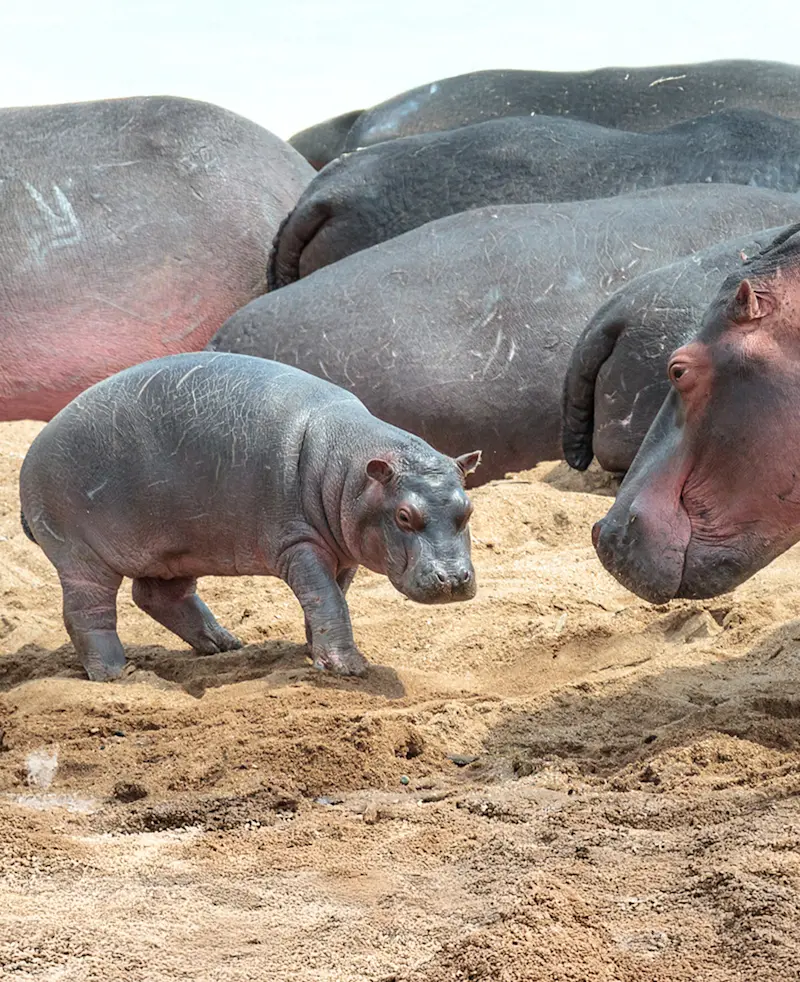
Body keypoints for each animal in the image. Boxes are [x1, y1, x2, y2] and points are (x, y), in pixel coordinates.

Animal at [19, 352, 480, 681]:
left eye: (469, 507)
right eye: (403, 516)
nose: (454, 579)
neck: (349, 467)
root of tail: (33, 449)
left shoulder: (343, 549)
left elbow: (333, 597)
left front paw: (314, 653)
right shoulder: (299, 543)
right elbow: (326, 597)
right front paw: (349, 668)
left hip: (172, 546)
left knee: (158, 596)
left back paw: (225, 645)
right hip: (81, 555)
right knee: (87, 612)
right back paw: (118, 674)